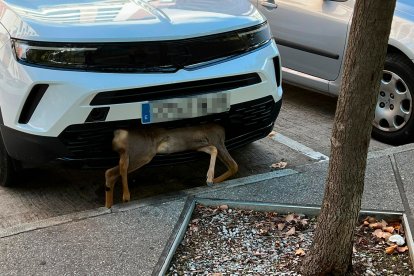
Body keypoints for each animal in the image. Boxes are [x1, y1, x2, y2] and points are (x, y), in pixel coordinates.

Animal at [104, 124, 239, 208]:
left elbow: (213, 150)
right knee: (114, 171)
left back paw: (109, 204)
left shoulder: (198, 144)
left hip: (132, 152)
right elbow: (234, 165)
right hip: (143, 152)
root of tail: (119, 134)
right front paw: (211, 180)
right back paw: (125, 196)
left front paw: (211, 179)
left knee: (114, 170)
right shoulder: (216, 139)